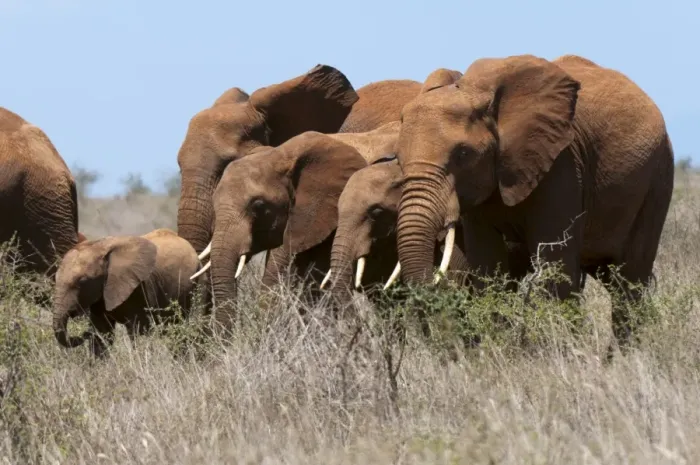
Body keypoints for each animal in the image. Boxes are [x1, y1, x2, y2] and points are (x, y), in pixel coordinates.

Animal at [52, 228, 201, 356]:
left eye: (82, 282)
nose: (83, 334)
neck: (100, 246)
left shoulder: (140, 288)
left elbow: (139, 331)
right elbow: (103, 331)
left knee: (179, 326)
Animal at [393, 54, 674, 350]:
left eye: (463, 154)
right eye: (397, 158)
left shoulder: (563, 165)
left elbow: (555, 270)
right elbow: (489, 266)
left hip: (658, 179)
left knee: (629, 281)